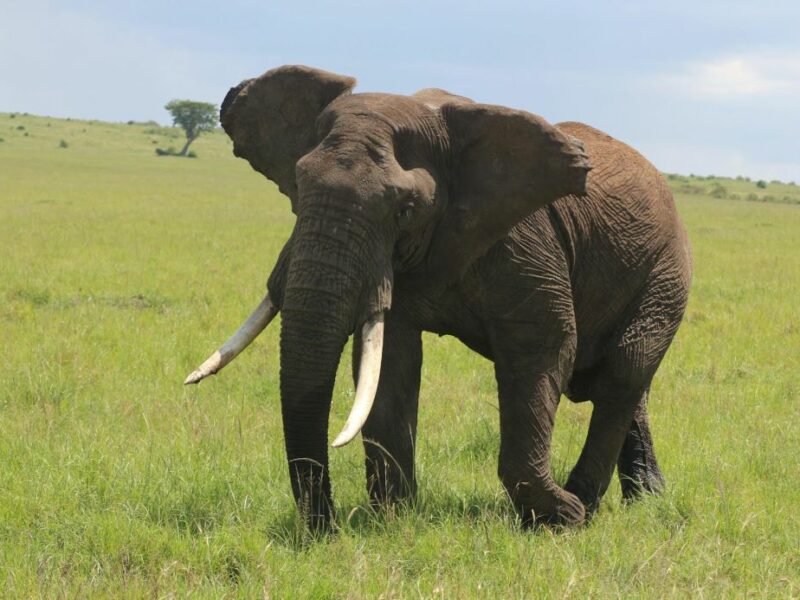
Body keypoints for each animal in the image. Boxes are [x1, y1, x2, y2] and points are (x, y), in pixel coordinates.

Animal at [184, 65, 692, 531]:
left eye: (404, 210)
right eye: (297, 189)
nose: (326, 525)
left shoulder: (524, 239)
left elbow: (541, 347)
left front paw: (557, 518)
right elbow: (391, 363)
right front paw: (393, 519)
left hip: (665, 274)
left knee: (622, 372)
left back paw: (586, 503)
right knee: (623, 383)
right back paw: (643, 498)